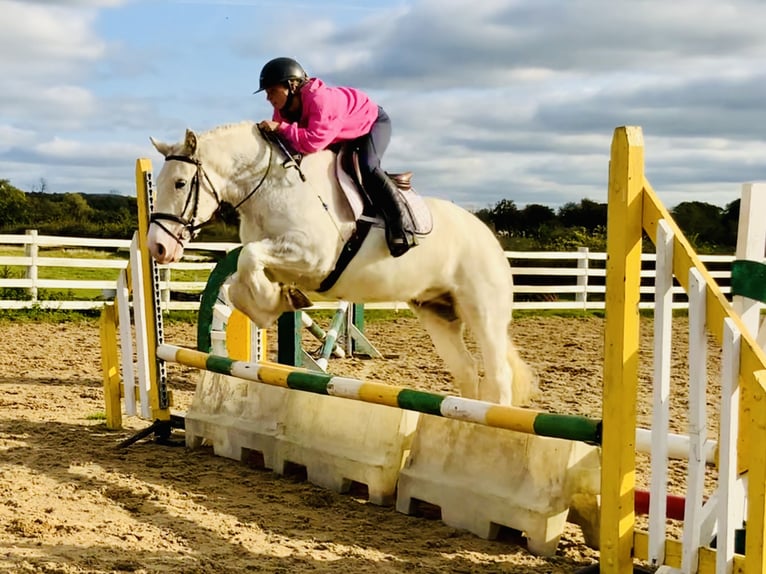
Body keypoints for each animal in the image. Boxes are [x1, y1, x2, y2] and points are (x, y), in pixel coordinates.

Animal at [147, 124, 536, 408]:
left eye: (180, 183)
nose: (157, 247)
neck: (270, 186)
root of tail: (490, 236)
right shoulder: (281, 260)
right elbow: (243, 278)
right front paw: (275, 303)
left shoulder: (312, 257)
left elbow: (249, 258)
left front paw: (269, 305)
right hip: (438, 312)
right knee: (467, 371)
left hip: (481, 311)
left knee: (497, 373)